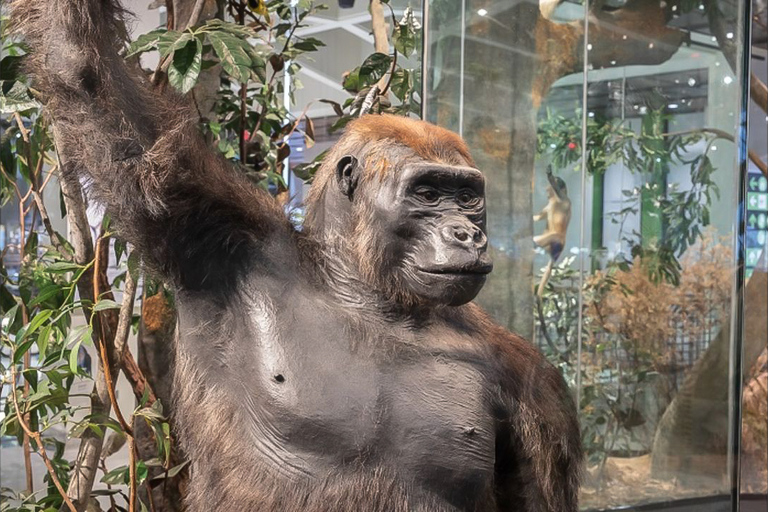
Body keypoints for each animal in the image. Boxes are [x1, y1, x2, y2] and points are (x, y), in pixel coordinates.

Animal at [12, 2, 580, 510]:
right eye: (428, 193)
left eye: (467, 197)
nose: (467, 233)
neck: (366, 292)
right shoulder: (221, 234)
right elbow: (87, 79)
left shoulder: (530, 379)